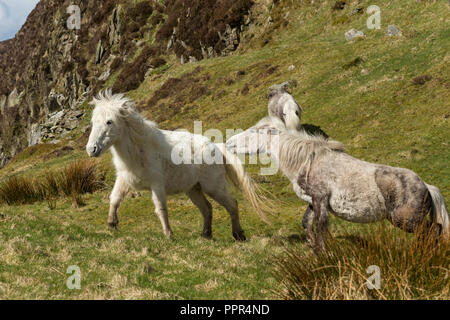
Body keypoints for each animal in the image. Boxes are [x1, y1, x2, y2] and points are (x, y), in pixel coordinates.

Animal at [87, 90, 268, 240]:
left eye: (109, 122)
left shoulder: (157, 185)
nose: (91, 149)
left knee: (232, 204)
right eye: (93, 122)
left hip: (214, 187)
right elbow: (114, 198)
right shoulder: (124, 179)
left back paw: (238, 234)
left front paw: (168, 233)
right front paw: (112, 223)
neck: (140, 149)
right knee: (207, 208)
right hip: (193, 189)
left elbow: (161, 208)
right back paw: (206, 234)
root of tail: (217, 147)